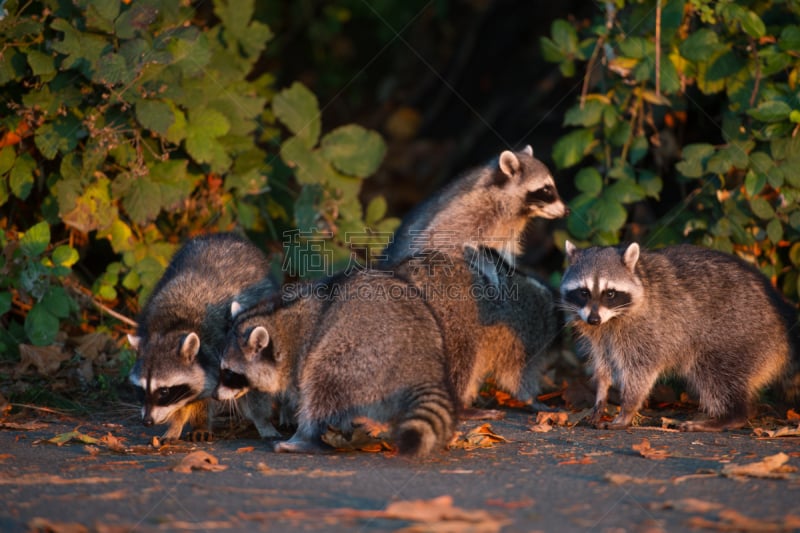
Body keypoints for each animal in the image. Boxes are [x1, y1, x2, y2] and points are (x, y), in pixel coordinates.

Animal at [127, 233, 278, 440]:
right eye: (141, 390)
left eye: (164, 391)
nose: (147, 422)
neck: (172, 327)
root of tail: (222, 236)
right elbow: (193, 397)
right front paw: (179, 425)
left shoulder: (223, 346)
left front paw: (262, 421)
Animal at [217, 272, 456, 460]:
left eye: (229, 373)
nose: (215, 396)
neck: (277, 318)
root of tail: (420, 362)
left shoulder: (300, 354)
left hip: (361, 355)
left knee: (322, 384)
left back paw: (305, 439)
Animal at [560, 241, 796, 432]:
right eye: (584, 292)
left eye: (610, 293)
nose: (593, 319)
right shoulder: (600, 335)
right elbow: (603, 363)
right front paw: (601, 395)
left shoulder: (647, 329)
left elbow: (640, 370)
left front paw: (627, 408)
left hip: (741, 332)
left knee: (716, 372)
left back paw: (730, 416)